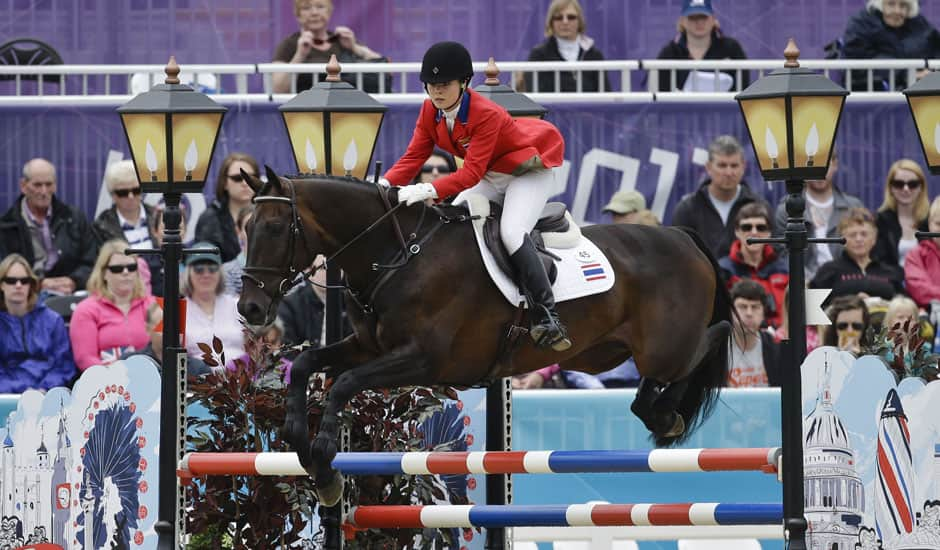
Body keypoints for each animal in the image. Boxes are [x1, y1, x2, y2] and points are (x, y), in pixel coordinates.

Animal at [237, 169, 736, 508]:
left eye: (276, 228)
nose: (250, 308)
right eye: (245, 226)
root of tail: (680, 235)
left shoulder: (423, 359)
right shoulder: (368, 348)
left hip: (664, 348)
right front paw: (306, 451)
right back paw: (658, 411)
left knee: (711, 339)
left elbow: (342, 383)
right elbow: (307, 365)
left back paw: (665, 414)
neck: (398, 254)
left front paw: (323, 456)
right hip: (601, 355)